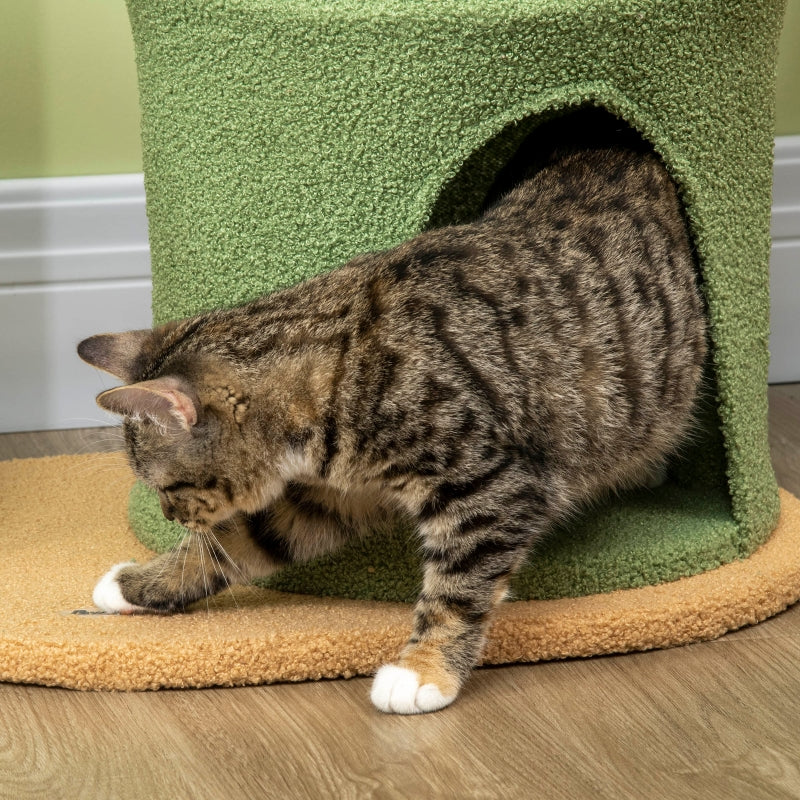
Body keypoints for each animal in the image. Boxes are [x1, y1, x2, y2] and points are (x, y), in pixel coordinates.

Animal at [78, 136, 708, 712]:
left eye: (168, 487)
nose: (168, 514)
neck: (339, 378)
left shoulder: (491, 490)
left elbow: (456, 589)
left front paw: (422, 671)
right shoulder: (332, 496)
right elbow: (239, 541)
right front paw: (139, 585)